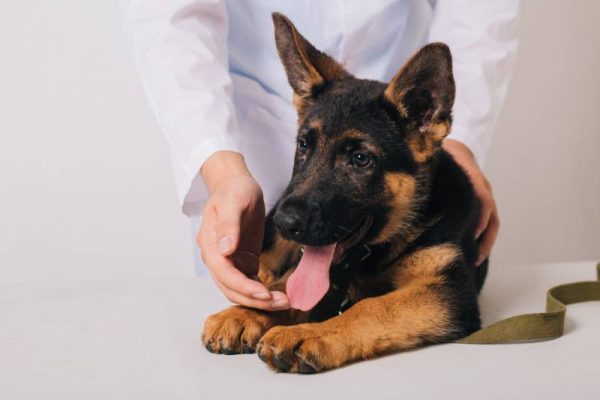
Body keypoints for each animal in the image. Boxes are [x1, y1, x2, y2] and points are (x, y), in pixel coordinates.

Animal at [202, 13, 488, 376]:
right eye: (304, 145)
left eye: (360, 159)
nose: (285, 221)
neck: (375, 252)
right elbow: (285, 289)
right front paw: (249, 311)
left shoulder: (449, 290)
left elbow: (374, 307)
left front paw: (309, 334)